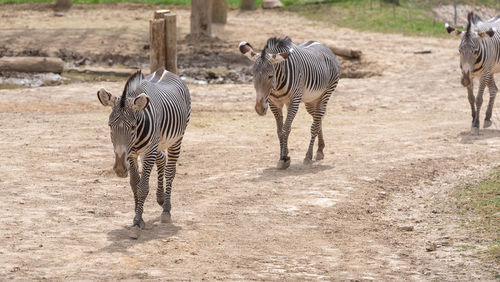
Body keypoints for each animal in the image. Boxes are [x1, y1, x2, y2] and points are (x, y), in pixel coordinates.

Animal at [96, 67, 190, 238]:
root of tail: (164, 70)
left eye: (133, 127)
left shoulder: (149, 151)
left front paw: (137, 223)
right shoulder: (132, 154)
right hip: (158, 143)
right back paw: (161, 198)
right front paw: (138, 217)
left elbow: (143, 187)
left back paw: (166, 210)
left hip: (176, 139)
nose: (120, 169)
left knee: (170, 171)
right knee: (162, 159)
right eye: (110, 125)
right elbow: (134, 183)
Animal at [239, 37, 340, 170]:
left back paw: (309, 156)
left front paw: (284, 159)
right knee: (318, 119)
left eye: (270, 76)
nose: (260, 109)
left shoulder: (294, 101)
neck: (277, 86)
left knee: (315, 123)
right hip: (311, 100)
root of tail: (324, 46)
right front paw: (284, 156)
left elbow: (285, 129)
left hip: (326, 93)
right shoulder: (274, 103)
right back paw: (320, 149)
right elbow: (279, 131)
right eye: (253, 75)